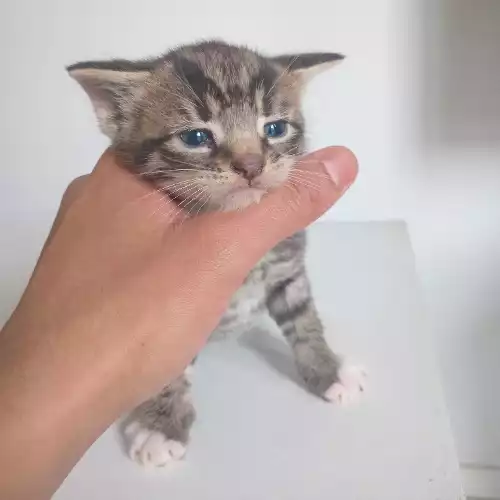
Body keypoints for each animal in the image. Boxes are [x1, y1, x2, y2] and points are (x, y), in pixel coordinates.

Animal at [68, 41, 366, 466]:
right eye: (195, 137)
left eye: (274, 129)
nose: (251, 165)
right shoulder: (172, 310)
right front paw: (162, 423)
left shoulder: (287, 265)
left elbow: (304, 319)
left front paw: (328, 369)